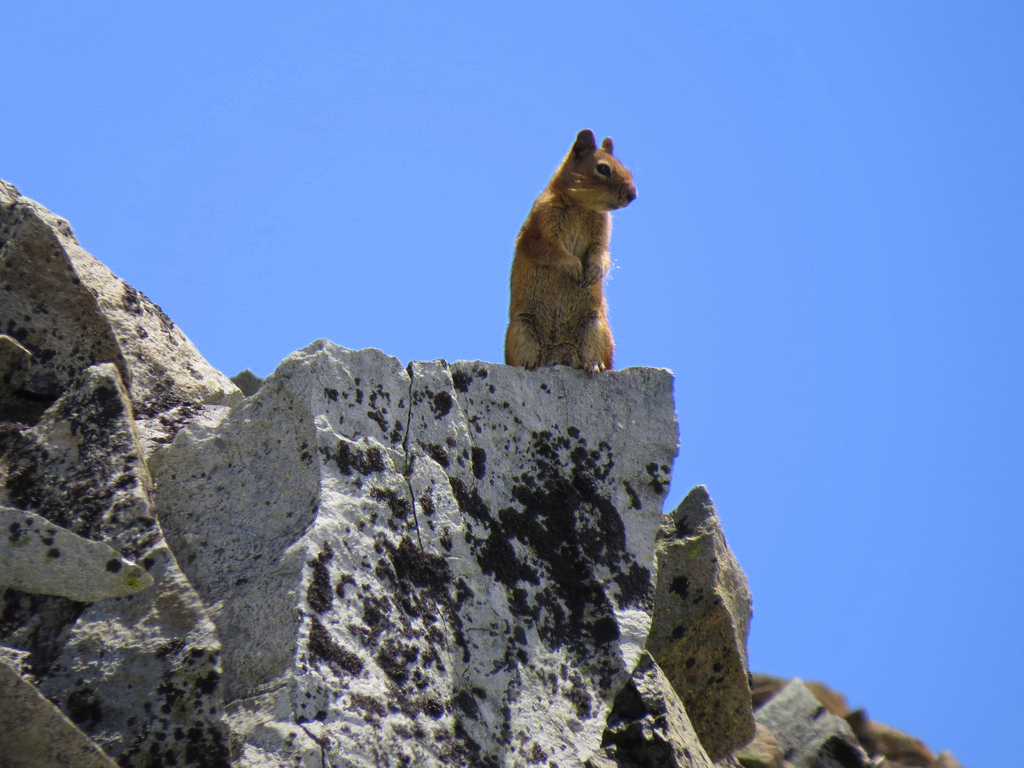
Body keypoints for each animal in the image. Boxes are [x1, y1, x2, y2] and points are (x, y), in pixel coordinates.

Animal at [504, 129, 637, 374]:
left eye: (629, 170)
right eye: (604, 169)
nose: (633, 195)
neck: (582, 205)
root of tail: (559, 353)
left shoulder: (601, 235)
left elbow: (601, 253)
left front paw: (594, 270)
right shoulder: (540, 227)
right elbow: (549, 250)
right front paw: (573, 265)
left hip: (595, 327)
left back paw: (593, 365)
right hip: (521, 330)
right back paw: (527, 367)